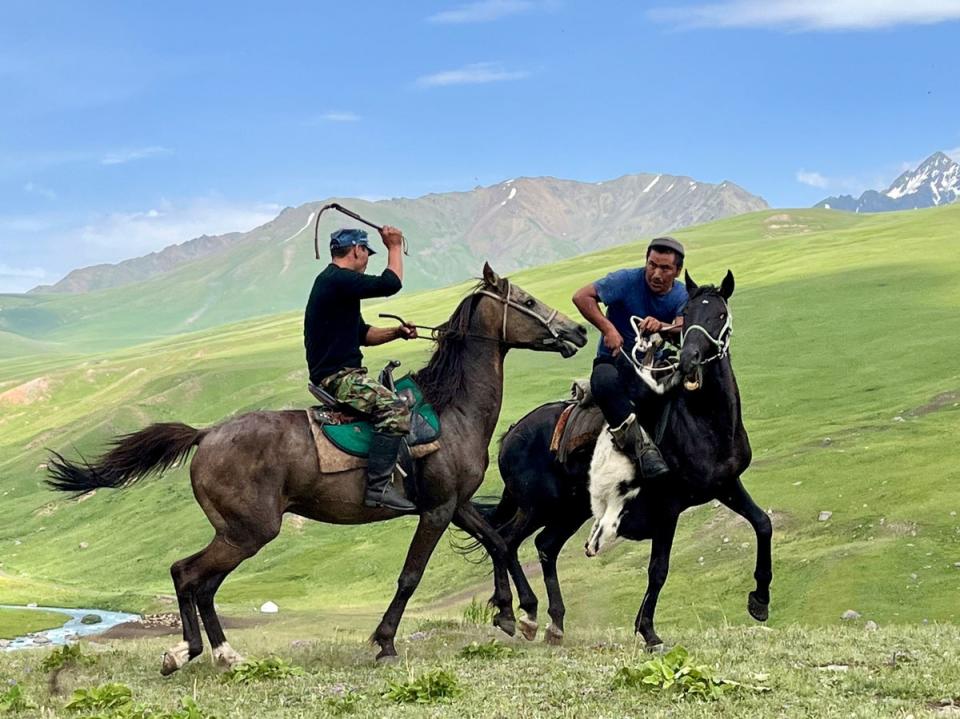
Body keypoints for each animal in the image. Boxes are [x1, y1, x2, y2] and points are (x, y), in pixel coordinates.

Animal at [48, 264, 588, 676]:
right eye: (528, 300)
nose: (578, 331)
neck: (451, 408)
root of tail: (206, 435)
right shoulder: (435, 511)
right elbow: (411, 577)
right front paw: (386, 642)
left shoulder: (453, 504)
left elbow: (498, 542)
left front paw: (518, 615)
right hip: (249, 531)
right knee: (187, 574)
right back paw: (187, 652)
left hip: (237, 533)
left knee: (203, 583)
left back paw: (224, 654)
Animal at [464, 272, 772, 648]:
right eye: (687, 314)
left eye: (720, 314)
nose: (688, 359)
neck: (704, 421)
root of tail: (510, 434)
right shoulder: (668, 506)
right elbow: (658, 570)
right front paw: (649, 632)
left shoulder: (726, 485)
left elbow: (762, 524)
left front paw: (759, 601)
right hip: (539, 506)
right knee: (505, 540)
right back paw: (520, 615)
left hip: (570, 510)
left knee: (544, 546)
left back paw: (554, 623)